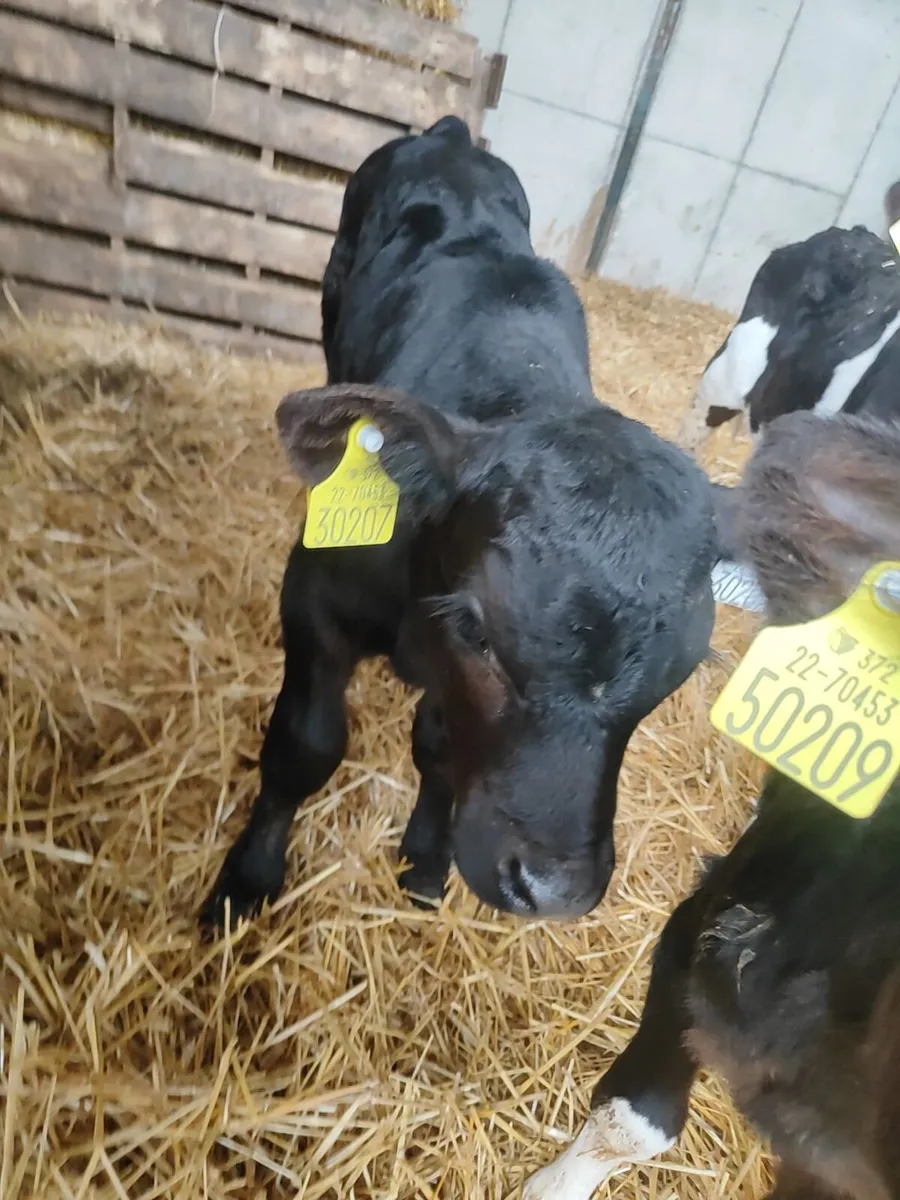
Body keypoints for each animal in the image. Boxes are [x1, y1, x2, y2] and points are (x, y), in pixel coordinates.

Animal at [199, 116, 720, 927]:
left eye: (684, 668)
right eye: (478, 629)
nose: (554, 889)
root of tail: (447, 136)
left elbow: (441, 749)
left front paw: (423, 855)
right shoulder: (314, 600)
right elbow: (304, 746)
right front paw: (247, 877)